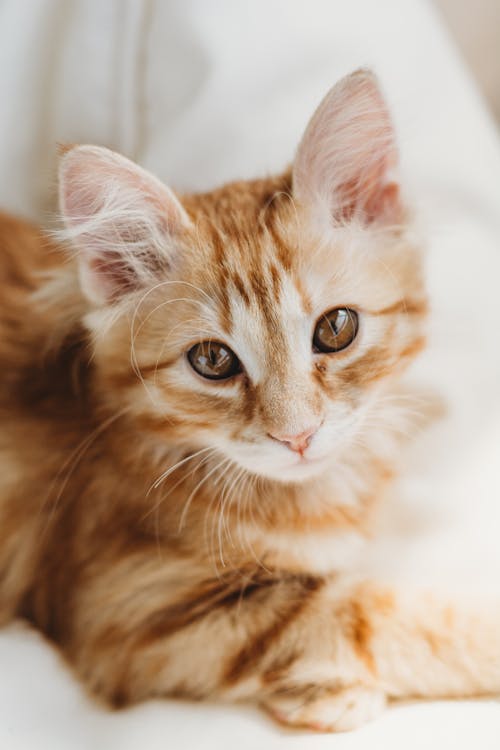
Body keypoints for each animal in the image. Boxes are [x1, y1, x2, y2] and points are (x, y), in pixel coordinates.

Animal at [0, 70, 500, 736]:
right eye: (213, 360)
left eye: (336, 328)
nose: (299, 435)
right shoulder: (132, 611)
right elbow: (370, 616)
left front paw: (326, 696)